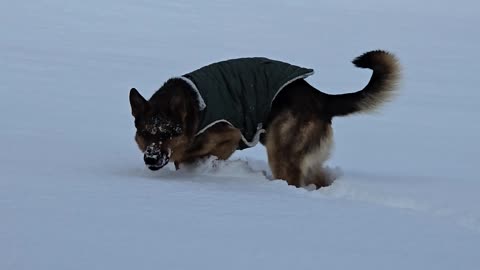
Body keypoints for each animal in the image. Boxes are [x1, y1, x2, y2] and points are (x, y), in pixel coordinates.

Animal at [129, 51, 400, 190]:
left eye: (167, 133)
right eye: (146, 133)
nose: (151, 158)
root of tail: (320, 99)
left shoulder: (229, 135)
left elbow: (192, 155)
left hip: (281, 149)